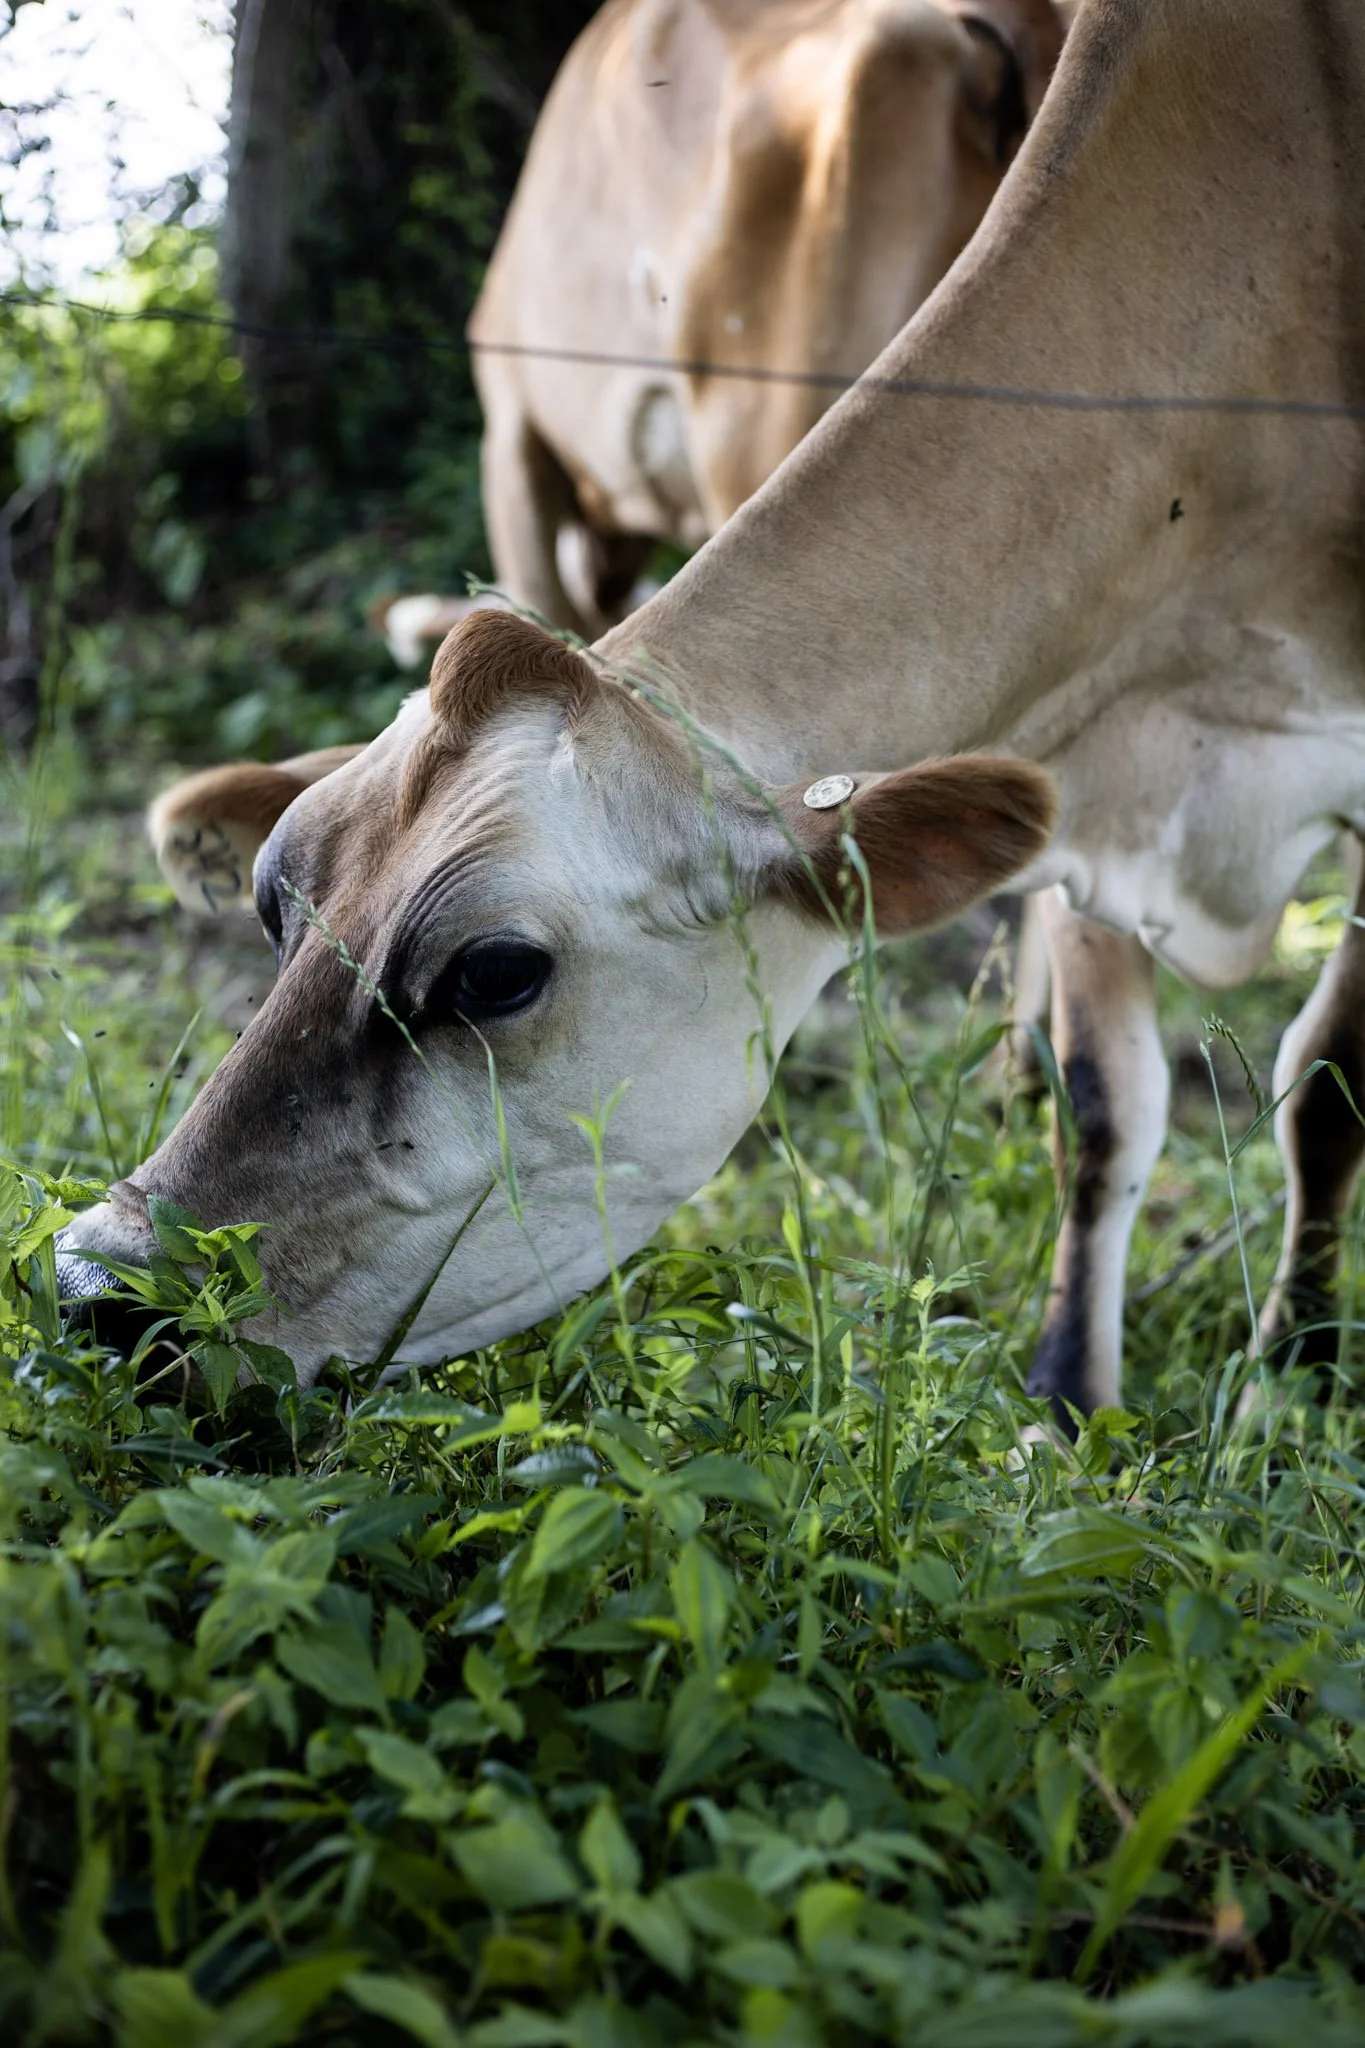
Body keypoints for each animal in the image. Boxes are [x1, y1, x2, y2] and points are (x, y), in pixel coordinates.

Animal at [68, 0, 1365, 1432]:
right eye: (270, 902)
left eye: (495, 972)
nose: (98, 1283)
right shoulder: (1091, 730)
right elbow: (1106, 1101)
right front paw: (1070, 1387)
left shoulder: (519, 446)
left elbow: (1330, 1087)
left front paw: (1295, 1373)